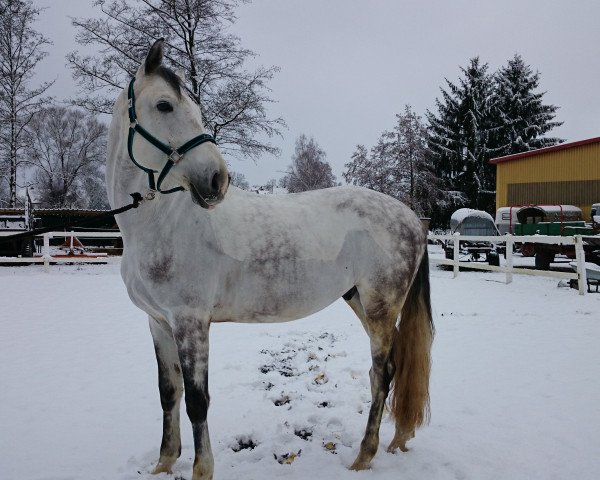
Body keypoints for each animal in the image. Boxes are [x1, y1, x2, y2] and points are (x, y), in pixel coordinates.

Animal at [108, 41, 434, 480]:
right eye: (164, 105)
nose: (217, 180)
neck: (162, 222)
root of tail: (410, 218)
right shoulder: (158, 322)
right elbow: (168, 393)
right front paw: (163, 462)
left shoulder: (190, 322)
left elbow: (197, 401)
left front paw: (201, 470)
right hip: (360, 301)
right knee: (391, 370)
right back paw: (397, 440)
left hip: (381, 307)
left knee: (382, 374)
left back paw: (364, 456)